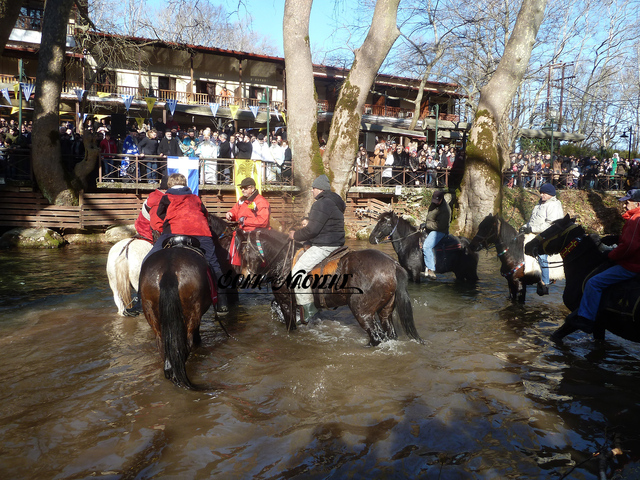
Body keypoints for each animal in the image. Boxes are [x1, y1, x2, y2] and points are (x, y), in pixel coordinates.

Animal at [232, 230, 422, 346]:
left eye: (243, 251)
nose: (241, 278)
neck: (283, 260)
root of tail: (393, 265)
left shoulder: (286, 303)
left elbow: (290, 325)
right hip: (385, 310)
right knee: (388, 333)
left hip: (362, 311)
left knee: (376, 337)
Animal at [524, 216, 640, 344]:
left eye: (550, 230)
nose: (528, 246)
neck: (586, 267)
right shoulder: (599, 326)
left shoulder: (583, 320)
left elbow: (556, 335)